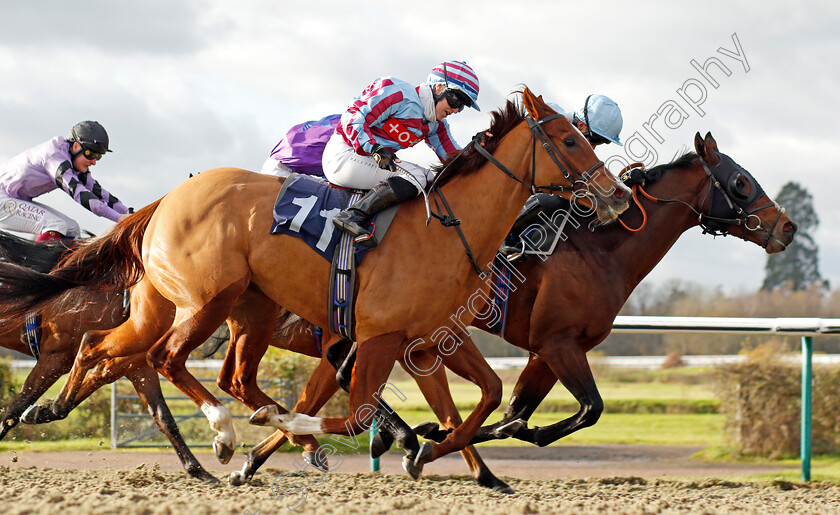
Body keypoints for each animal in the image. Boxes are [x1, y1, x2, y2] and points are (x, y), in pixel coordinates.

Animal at [0, 87, 632, 476]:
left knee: (107, 348)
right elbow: (356, 410)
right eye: (571, 140)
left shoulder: (428, 339)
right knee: (166, 359)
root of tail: (169, 198)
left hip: (194, 306)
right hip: (207, 300)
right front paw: (387, 440)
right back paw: (224, 433)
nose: (618, 196)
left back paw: (46, 409)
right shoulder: (377, 338)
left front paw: (432, 449)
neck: (448, 229)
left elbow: (489, 397)